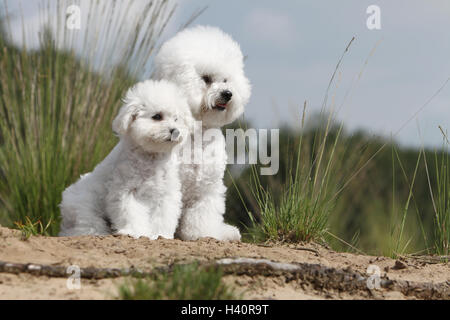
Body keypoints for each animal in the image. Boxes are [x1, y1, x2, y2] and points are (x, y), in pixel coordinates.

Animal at [59, 80, 192, 240]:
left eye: (176, 119)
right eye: (157, 116)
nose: (175, 131)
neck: (152, 156)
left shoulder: (166, 194)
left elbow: (163, 217)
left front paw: (159, 235)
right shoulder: (127, 191)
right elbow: (131, 213)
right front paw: (135, 232)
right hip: (86, 208)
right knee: (86, 225)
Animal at [154, 25, 253, 240]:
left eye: (226, 80)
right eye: (206, 78)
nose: (228, 94)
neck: (198, 135)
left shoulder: (207, 190)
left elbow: (202, 216)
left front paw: (202, 234)